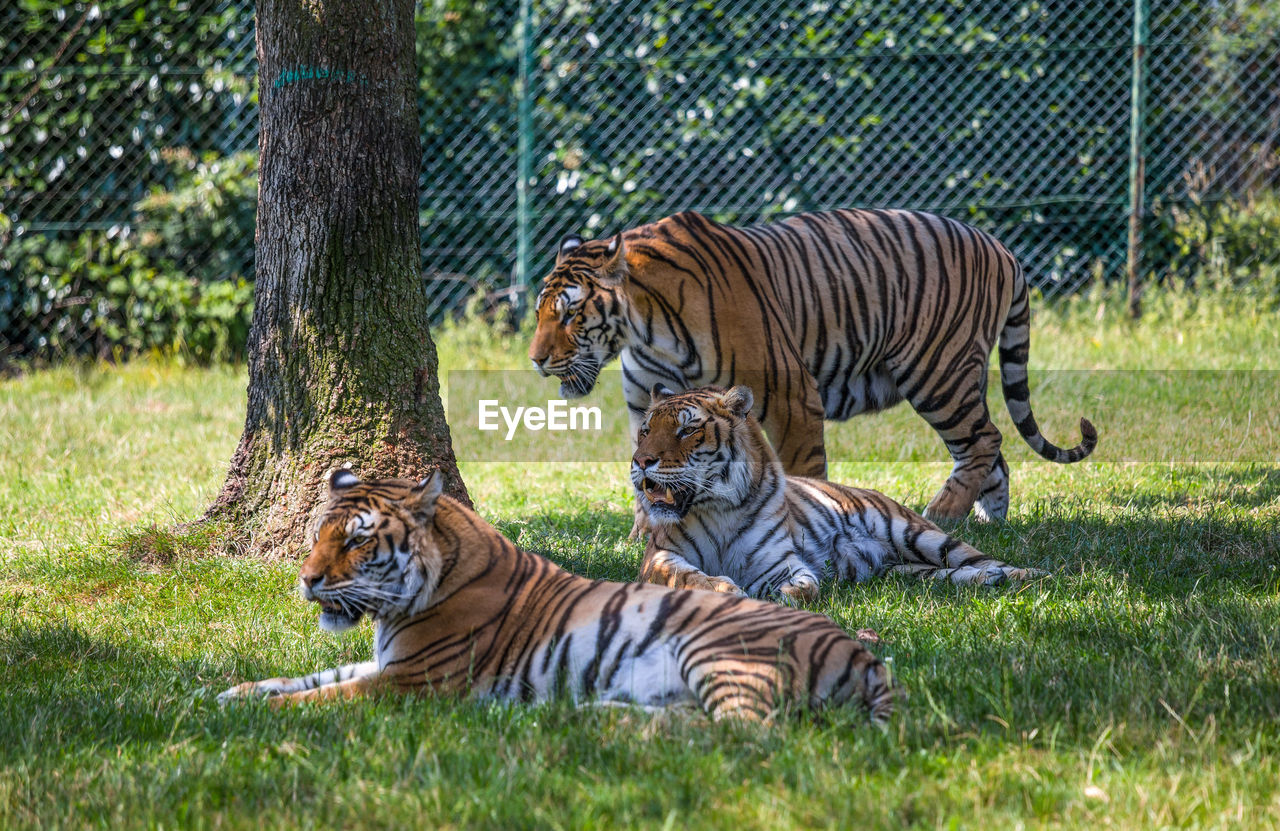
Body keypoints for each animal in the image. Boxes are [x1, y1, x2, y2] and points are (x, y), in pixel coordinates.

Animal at [220, 471, 896, 722]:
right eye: (318, 535)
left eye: (358, 541)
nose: (306, 579)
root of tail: (864, 654)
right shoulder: (388, 661)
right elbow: (311, 675)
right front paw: (230, 691)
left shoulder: (412, 681)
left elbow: (323, 695)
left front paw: (247, 711)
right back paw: (600, 715)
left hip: (716, 652)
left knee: (744, 733)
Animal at [529, 207, 1100, 522]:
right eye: (539, 311)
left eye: (571, 313)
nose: (536, 360)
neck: (645, 329)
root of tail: (1001, 247)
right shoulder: (643, 409)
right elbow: (645, 476)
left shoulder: (790, 395)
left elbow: (804, 471)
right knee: (992, 452)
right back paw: (987, 523)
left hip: (938, 370)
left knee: (985, 439)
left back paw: (942, 513)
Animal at [634, 381, 1044, 596]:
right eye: (645, 430)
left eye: (687, 430)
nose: (641, 461)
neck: (719, 508)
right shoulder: (660, 557)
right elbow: (686, 576)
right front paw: (727, 590)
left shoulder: (781, 561)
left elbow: (805, 584)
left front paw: (780, 597)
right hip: (902, 568)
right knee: (937, 573)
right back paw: (991, 580)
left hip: (919, 535)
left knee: (977, 557)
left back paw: (1028, 576)